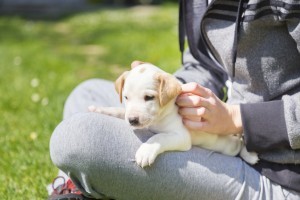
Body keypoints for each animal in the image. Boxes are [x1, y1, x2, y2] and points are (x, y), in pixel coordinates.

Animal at [88, 63, 258, 168]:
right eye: (126, 97)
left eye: (149, 97)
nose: (132, 120)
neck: (158, 119)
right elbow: (119, 111)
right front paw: (99, 109)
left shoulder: (180, 136)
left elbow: (159, 137)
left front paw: (146, 150)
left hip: (229, 146)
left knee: (240, 144)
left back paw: (250, 155)